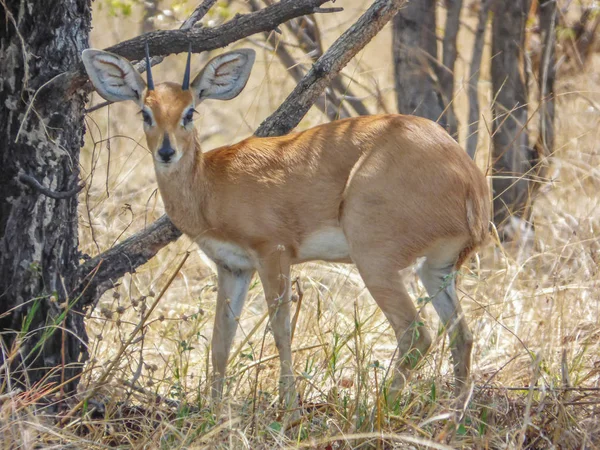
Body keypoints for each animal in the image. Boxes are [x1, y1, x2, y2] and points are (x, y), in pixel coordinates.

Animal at [82, 46, 490, 412]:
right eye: (145, 111)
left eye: (190, 111)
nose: (167, 152)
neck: (211, 184)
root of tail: (469, 177)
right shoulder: (233, 267)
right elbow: (220, 341)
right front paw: (214, 412)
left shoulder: (273, 254)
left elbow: (281, 332)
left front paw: (289, 411)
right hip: (435, 268)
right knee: (462, 335)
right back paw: (451, 415)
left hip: (375, 261)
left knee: (416, 334)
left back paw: (374, 411)